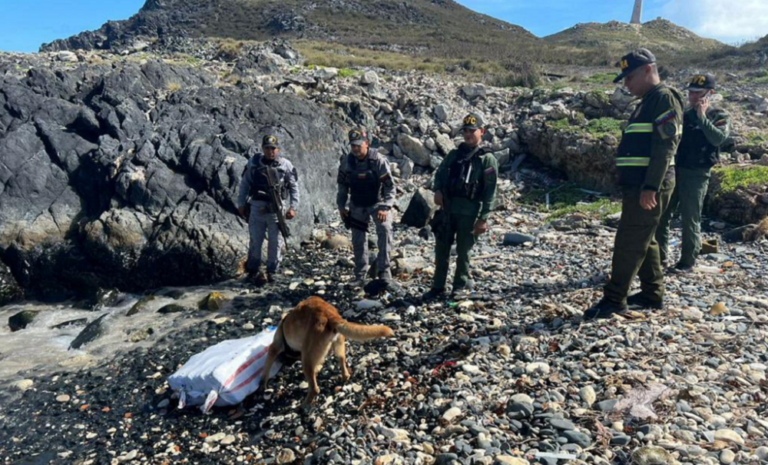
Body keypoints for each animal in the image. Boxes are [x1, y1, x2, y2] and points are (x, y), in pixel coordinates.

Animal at [262, 296, 396, 404]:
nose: (286, 362)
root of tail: (328, 315)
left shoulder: (274, 347)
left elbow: (266, 369)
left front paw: (263, 384)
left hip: (307, 359)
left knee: (314, 388)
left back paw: (304, 405)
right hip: (338, 347)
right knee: (342, 364)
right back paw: (344, 377)